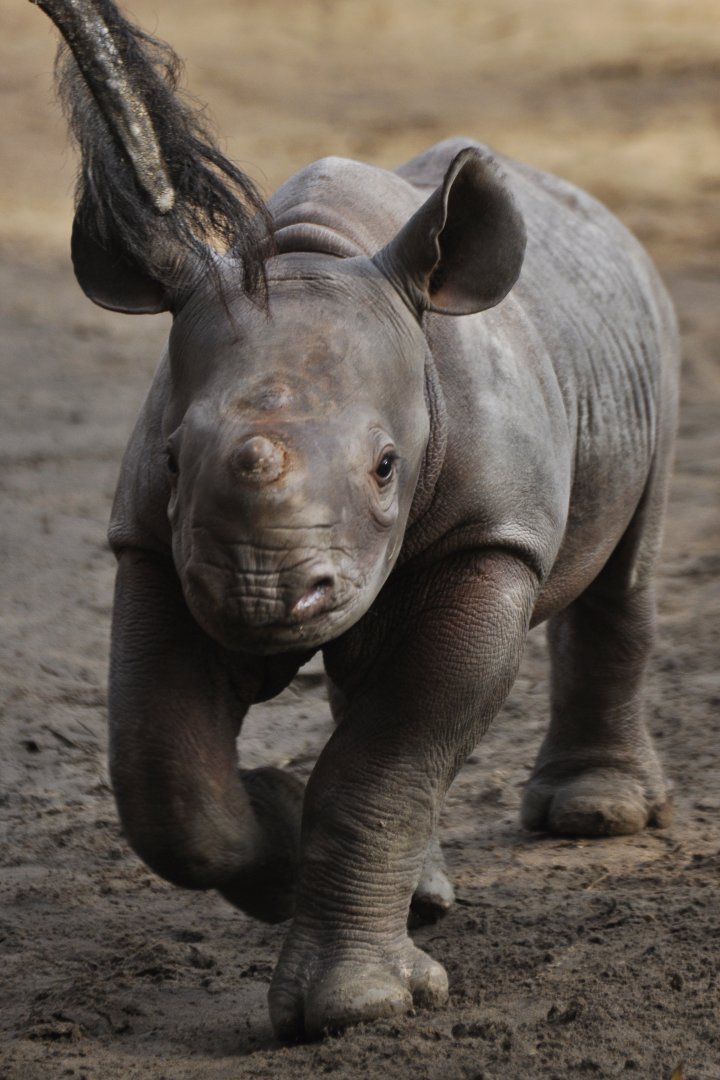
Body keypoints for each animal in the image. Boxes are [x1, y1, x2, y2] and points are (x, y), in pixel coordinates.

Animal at [37, 0, 678, 1041]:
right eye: (174, 460)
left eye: (386, 466)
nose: (262, 595)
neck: (314, 254)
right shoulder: (154, 546)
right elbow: (166, 781)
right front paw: (280, 833)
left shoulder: (489, 539)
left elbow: (388, 758)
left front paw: (359, 1007)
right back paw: (423, 892)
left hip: (646, 335)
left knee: (625, 571)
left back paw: (594, 818)